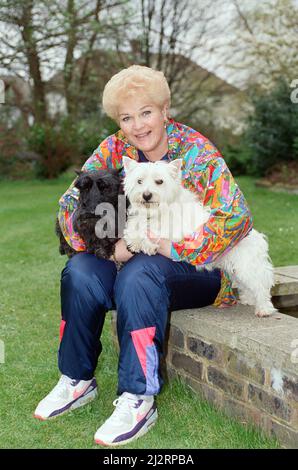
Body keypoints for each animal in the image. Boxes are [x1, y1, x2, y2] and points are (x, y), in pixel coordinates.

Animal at [122, 156, 276, 318]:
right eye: (139, 181)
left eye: (159, 181)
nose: (146, 195)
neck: (156, 211)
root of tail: (256, 236)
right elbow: (134, 227)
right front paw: (134, 241)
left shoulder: (176, 230)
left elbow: (155, 232)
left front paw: (147, 244)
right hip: (236, 269)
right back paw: (248, 299)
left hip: (246, 265)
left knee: (260, 285)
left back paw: (264, 309)